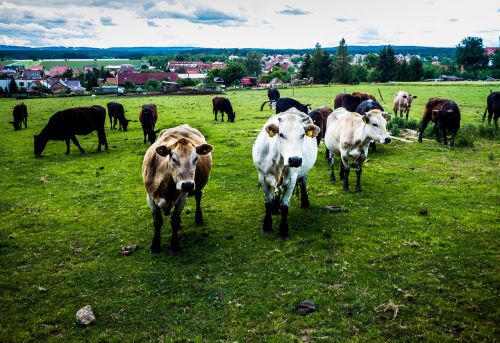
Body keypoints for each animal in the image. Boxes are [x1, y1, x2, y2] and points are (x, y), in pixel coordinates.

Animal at [141, 125, 213, 254]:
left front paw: (175, 245)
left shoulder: (182, 198)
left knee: (198, 196)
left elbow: (174, 221)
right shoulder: (150, 197)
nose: (188, 185)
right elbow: (157, 221)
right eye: (174, 159)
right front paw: (155, 245)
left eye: (196, 158)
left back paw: (198, 217)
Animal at [254, 107, 320, 239]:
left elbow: (284, 206)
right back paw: (275, 208)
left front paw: (283, 230)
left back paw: (305, 202)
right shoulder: (262, 177)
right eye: (281, 134)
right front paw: (267, 225)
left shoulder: (291, 180)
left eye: (302, 134)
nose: (295, 160)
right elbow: (268, 202)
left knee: (303, 183)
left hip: (303, 172)